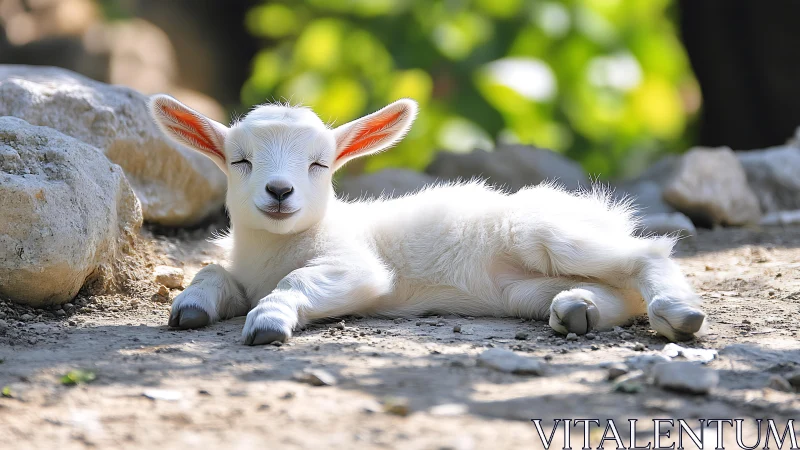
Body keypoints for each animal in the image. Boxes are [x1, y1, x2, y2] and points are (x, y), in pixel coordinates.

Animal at [148, 96, 706, 345]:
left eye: (320, 164)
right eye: (240, 160)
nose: (279, 192)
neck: (276, 247)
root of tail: (600, 210)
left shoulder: (357, 267)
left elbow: (298, 283)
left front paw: (268, 320)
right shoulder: (241, 271)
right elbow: (211, 272)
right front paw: (190, 307)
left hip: (546, 233)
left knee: (645, 255)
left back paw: (677, 313)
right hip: (520, 288)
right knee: (617, 291)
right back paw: (577, 310)